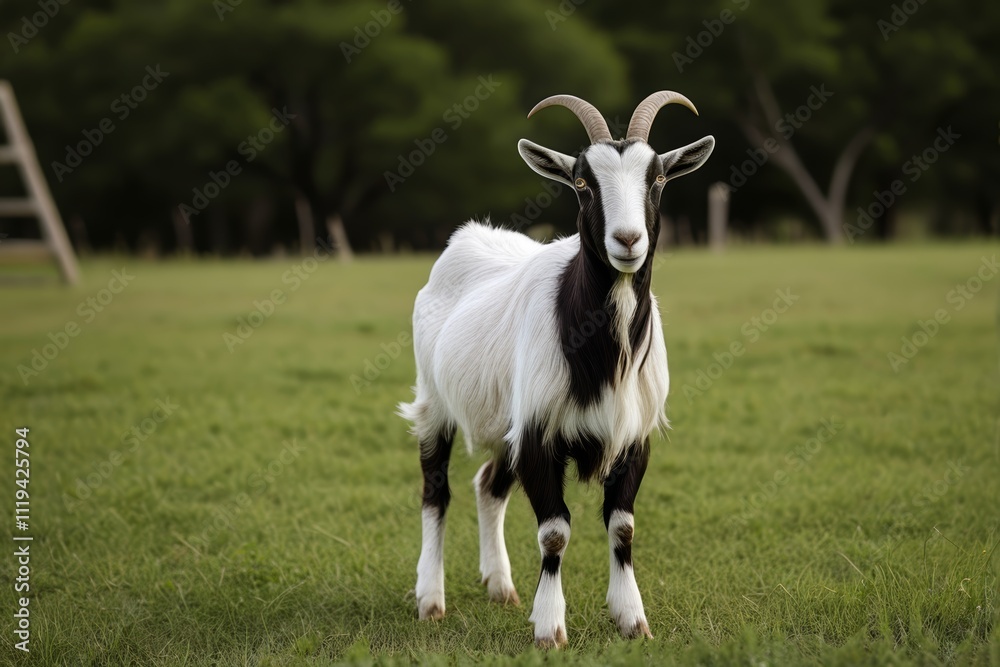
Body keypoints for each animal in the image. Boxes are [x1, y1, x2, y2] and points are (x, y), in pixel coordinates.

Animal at [398, 91, 714, 648]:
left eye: (657, 178)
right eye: (584, 183)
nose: (627, 240)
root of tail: (467, 238)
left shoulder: (631, 436)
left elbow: (623, 526)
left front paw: (632, 619)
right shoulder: (539, 432)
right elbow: (554, 531)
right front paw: (550, 628)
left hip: (507, 419)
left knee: (488, 485)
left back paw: (500, 587)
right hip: (434, 402)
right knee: (436, 491)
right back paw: (431, 599)